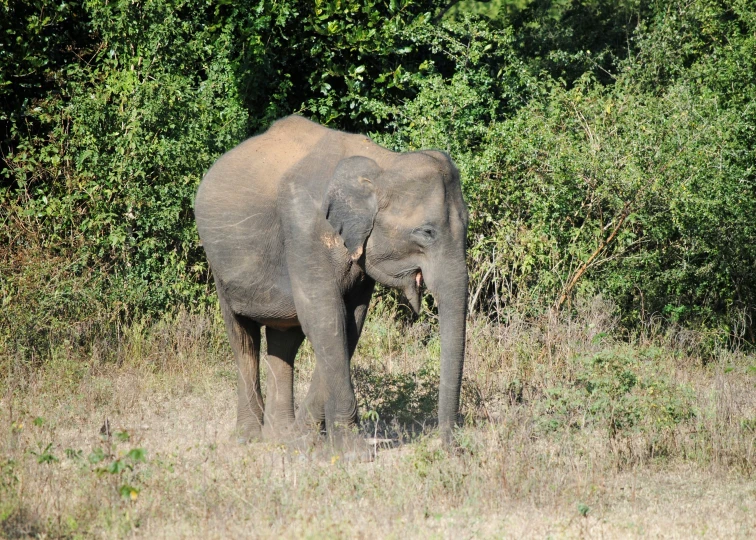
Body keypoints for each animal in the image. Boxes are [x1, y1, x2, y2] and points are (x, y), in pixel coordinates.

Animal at [195, 116, 466, 446]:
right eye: (426, 232)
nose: (450, 446)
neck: (381, 161)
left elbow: (348, 323)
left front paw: (304, 440)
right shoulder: (304, 229)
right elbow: (325, 318)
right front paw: (349, 449)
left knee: (284, 340)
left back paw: (278, 436)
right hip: (220, 266)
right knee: (243, 339)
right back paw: (249, 438)